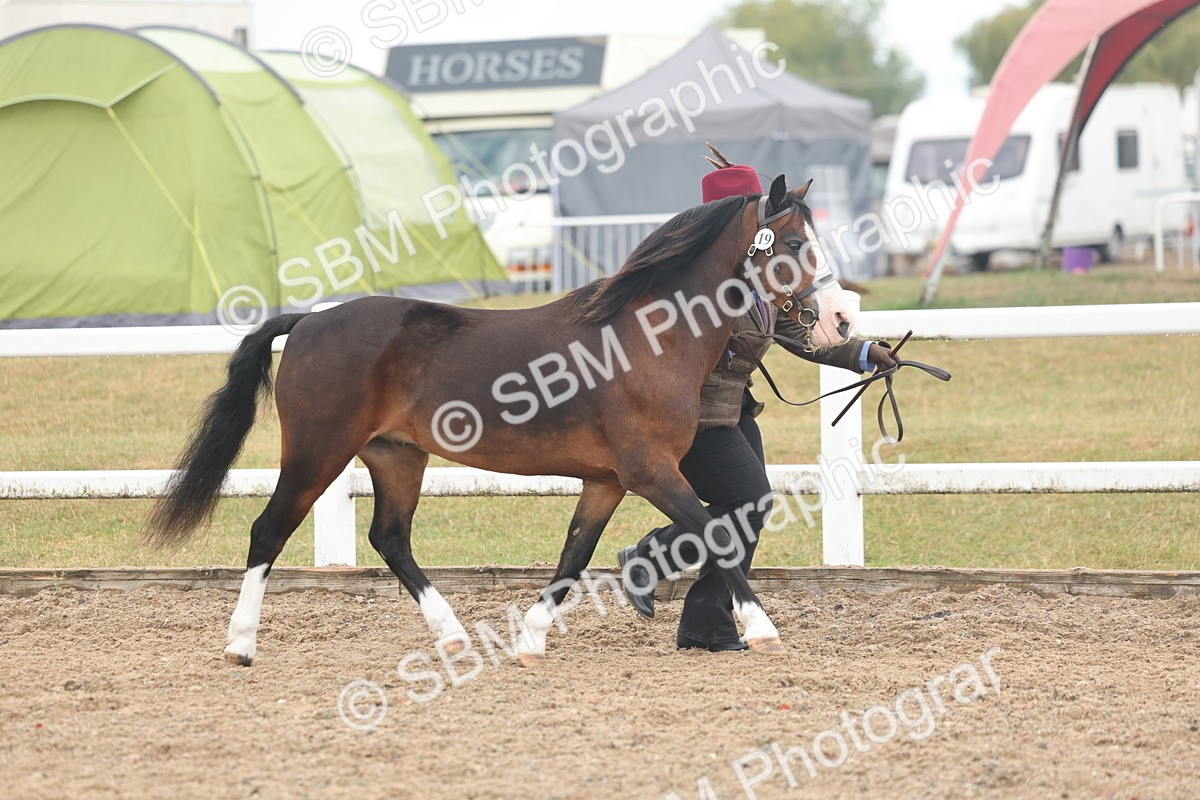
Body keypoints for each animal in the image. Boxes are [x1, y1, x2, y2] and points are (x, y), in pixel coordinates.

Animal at [146, 174, 856, 666]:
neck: (646, 337)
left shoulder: (607, 481)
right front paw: (763, 631)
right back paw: (241, 646)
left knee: (390, 538)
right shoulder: (651, 471)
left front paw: (531, 643)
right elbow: (715, 534)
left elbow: (574, 556)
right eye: (794, 243)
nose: (840, 322)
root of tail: (309, 322)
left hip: (396, 455)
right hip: (317, 452)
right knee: (268, 533)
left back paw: (455, 637)